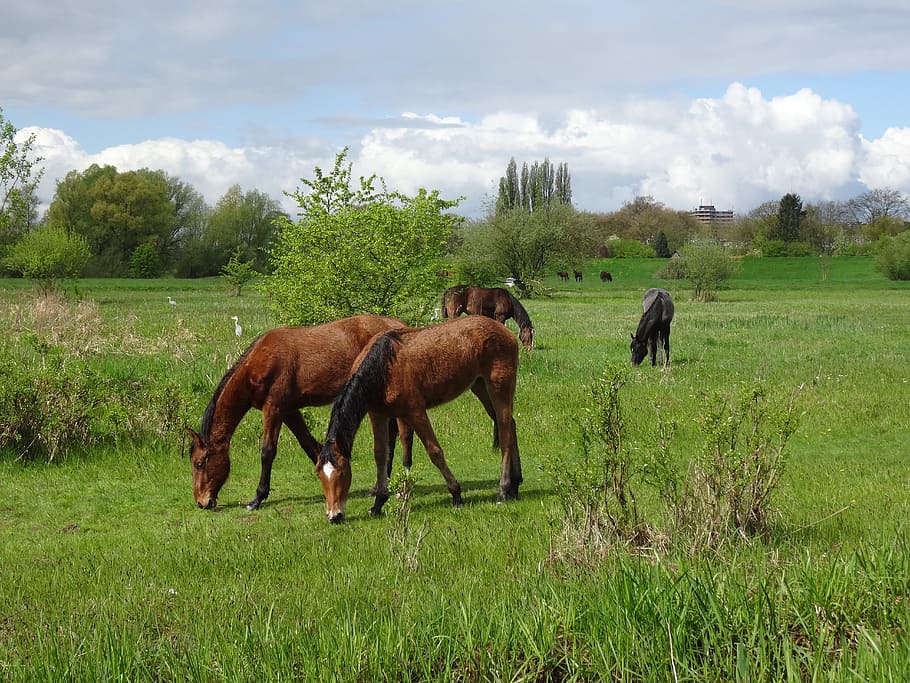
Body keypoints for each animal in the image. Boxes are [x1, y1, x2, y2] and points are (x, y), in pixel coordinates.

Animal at [185, 314, 413, 511]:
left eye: (199, 464)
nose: (201, 502)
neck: (260, 361)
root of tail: (399, 326)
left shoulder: (273, 409)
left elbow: (267, 452)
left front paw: (258, 498)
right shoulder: (289, 411)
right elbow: (308, 445)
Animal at [315, 316, 522, 523]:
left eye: (342, 472)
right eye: (319, 474)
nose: (334, 516)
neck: (383, 365)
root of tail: (504, 330)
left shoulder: (415, 413)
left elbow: (435, 452)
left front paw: (456, 494)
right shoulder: (379, 415)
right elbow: (381, 455)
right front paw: (378, 502)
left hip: (499, 388)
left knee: (505, 434)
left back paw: (503, 491)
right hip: (480, 387)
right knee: (511, 426)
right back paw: (515, 485)